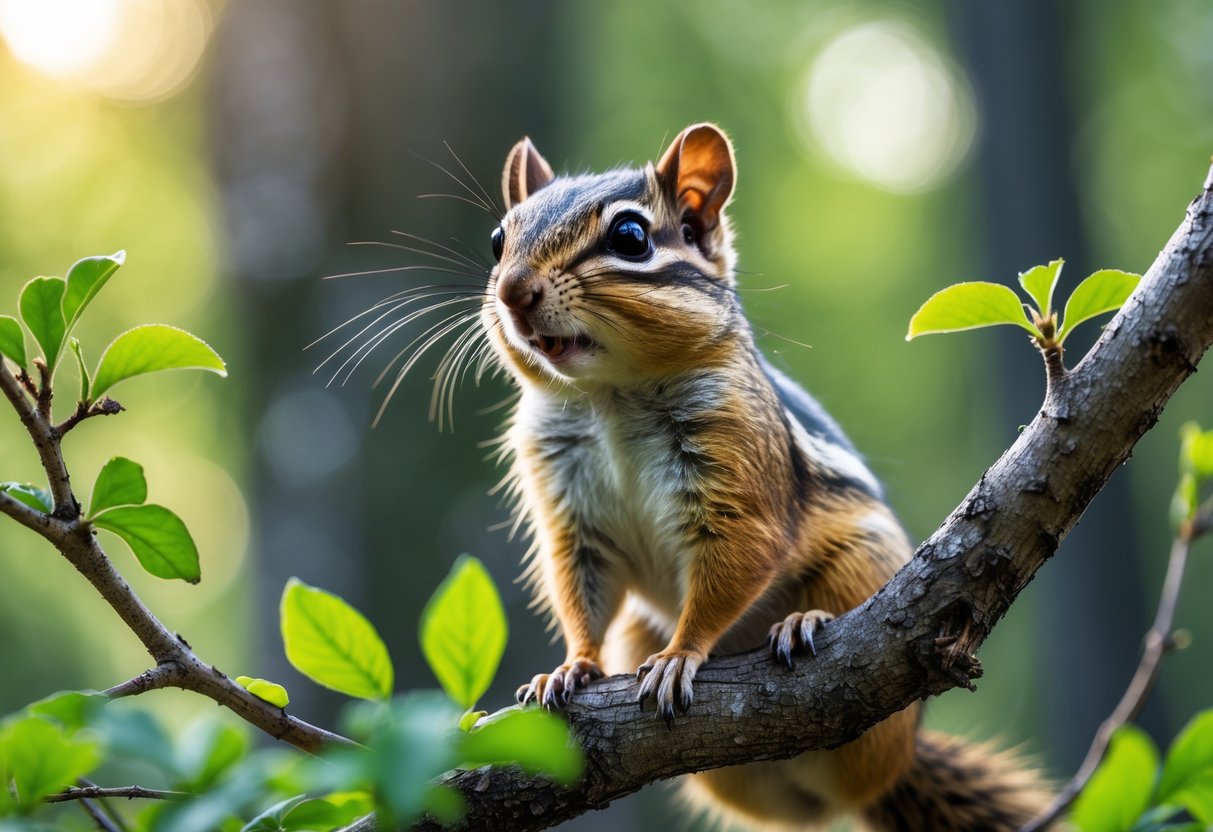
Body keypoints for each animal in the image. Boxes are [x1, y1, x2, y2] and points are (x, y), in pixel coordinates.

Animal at [481, 123, 1051, 830]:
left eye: (631, 237)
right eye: (498, 240)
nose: (513, 291)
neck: (608, 396)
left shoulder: (736, 463)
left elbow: (738, 558)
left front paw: (681, 655)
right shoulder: (568, 507)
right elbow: (578, 586)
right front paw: (569, 668)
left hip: (864, 563)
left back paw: (802, 622)